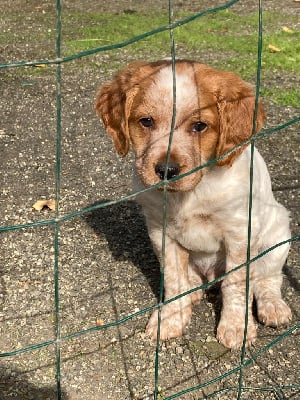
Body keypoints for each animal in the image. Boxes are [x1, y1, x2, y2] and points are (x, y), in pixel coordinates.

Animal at [95, 60, 290, 350]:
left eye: (200, 126)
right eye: (146, 122)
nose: (166, 170)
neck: (192, 192)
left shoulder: (240, 232)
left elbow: (236, 283)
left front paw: (237, 328)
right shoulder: (160, 231)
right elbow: (173, 280)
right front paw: (170, 319)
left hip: (279, 233)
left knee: (267, 278)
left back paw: (274, 306)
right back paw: (193, 290)